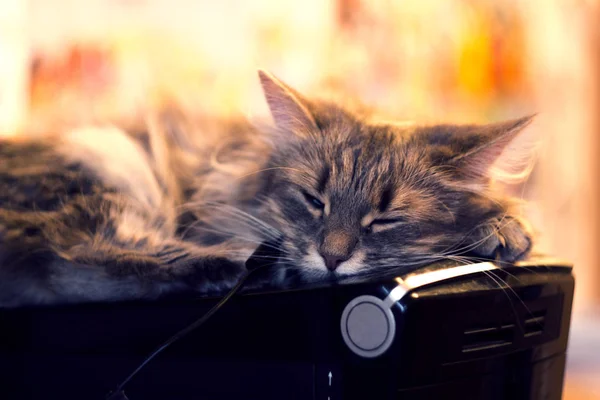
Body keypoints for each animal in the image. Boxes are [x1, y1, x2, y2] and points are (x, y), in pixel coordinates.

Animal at [0, 71, 536, 306]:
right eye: (314, 201)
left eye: (385, 219)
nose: (332, 258)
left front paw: (504, 231)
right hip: (106, 158)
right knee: (71, 258)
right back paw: (248, 265)